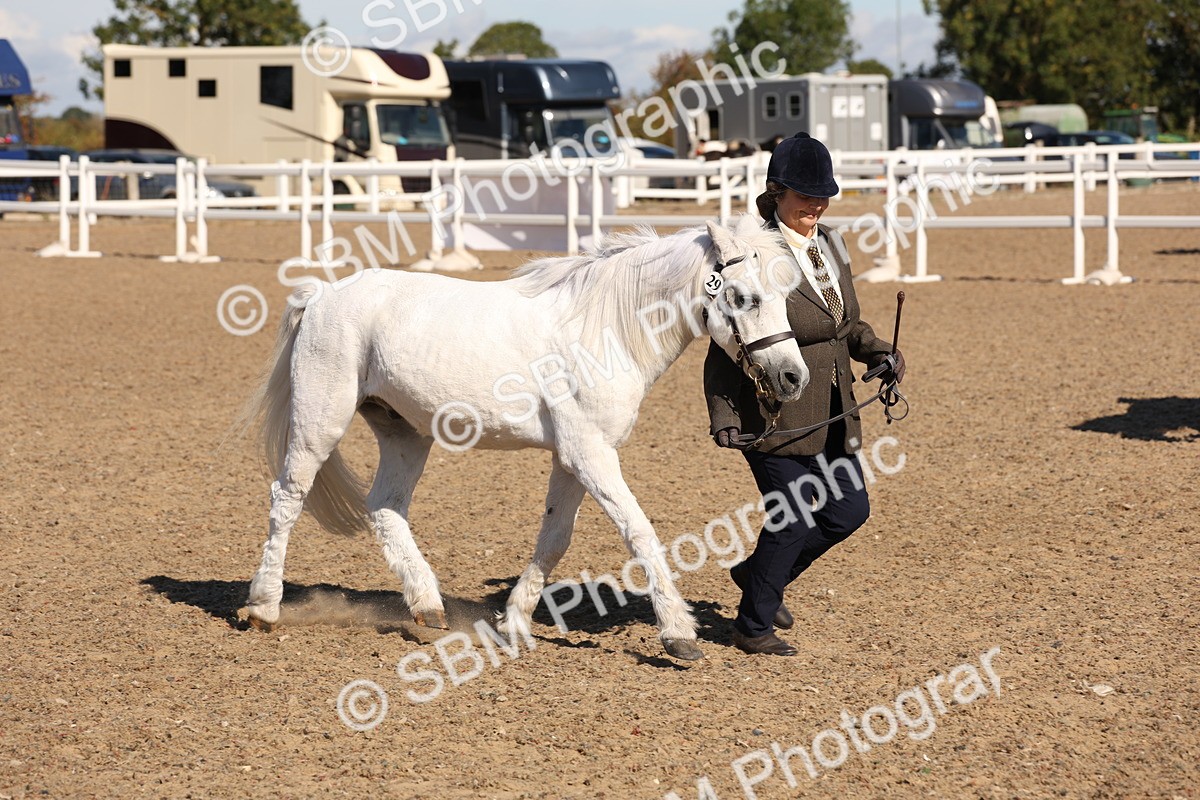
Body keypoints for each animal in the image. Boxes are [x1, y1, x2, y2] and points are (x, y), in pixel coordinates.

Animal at [240, 214, 810, 661]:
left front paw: (514, 624)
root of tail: (320, 296)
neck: (603, 330)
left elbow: (554, 539)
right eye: (745, 297)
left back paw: (428, 606)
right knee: (287, 497)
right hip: (320, 421)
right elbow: (640, 533)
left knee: (385, 506)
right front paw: (679, 634)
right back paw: (264, 607)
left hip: (405, 433)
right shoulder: (591, 455)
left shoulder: (572, 458)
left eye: (785, 296)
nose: (793, 378)